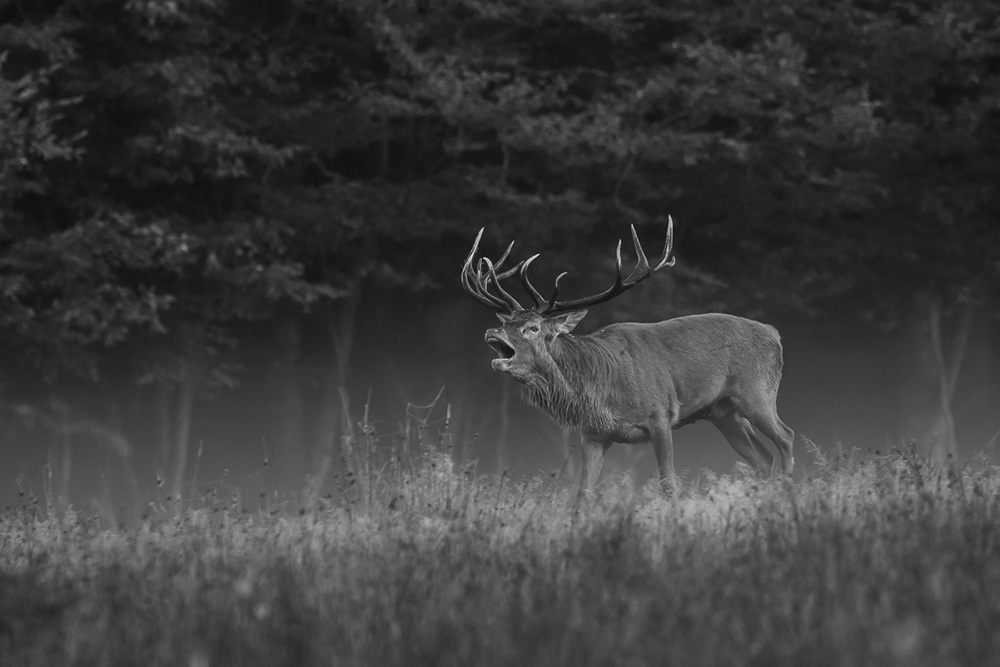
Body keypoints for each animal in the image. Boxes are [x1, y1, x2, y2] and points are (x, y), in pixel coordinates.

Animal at [460, 217, 794, 500]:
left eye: (532, 327)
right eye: (507, 322)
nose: (492, 331)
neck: (601, 389)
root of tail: (775, 334)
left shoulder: (660, 415)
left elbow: (668, 484)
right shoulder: (593, 434)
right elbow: (583, 492)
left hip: (757, 393)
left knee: (786, 437)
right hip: (723, 412)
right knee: (763, 459)